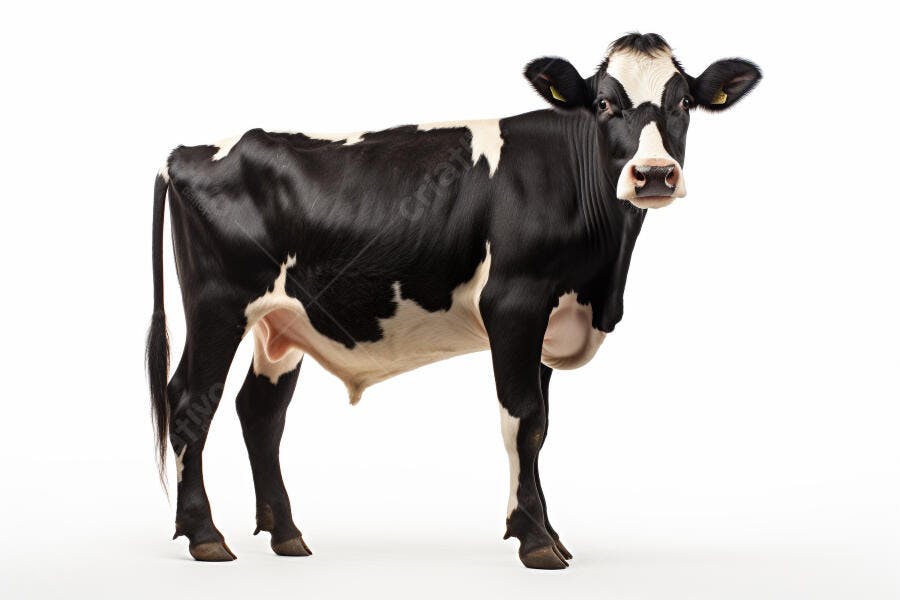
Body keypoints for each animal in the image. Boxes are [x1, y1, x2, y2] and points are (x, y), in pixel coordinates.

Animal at [147, 32, 761, 569]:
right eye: (606, 103)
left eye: (684, 102)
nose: (654, 175)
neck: (601, 283)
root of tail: (188, 152)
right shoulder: (514, 303)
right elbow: (523, 419)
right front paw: (534, 539)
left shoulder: (550, 320)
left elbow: (541, 428)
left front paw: (550, 533)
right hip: (218, 303)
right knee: (191, 401)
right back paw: (204, 535)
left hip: (281, 321)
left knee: (260, 411)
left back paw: (287, 534)